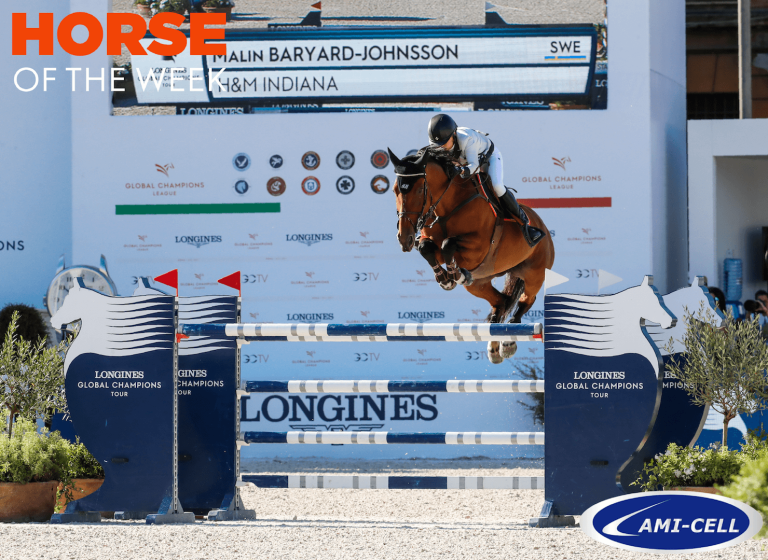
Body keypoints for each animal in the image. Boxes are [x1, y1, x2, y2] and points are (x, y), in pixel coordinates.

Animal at [389, 148, 555, 364]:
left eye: (419, 190)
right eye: (395, 190)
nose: (404, 238)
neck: (447, 205)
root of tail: (542, 225)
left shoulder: (478, 247)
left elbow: (448, 244)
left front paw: (454, 275)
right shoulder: (431, 241)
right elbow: (427, 247)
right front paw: (445, 279)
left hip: (534, 272)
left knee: (526, 300)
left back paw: (509, 342)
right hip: (480, 283)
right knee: (500, 302)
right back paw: (494, 347)